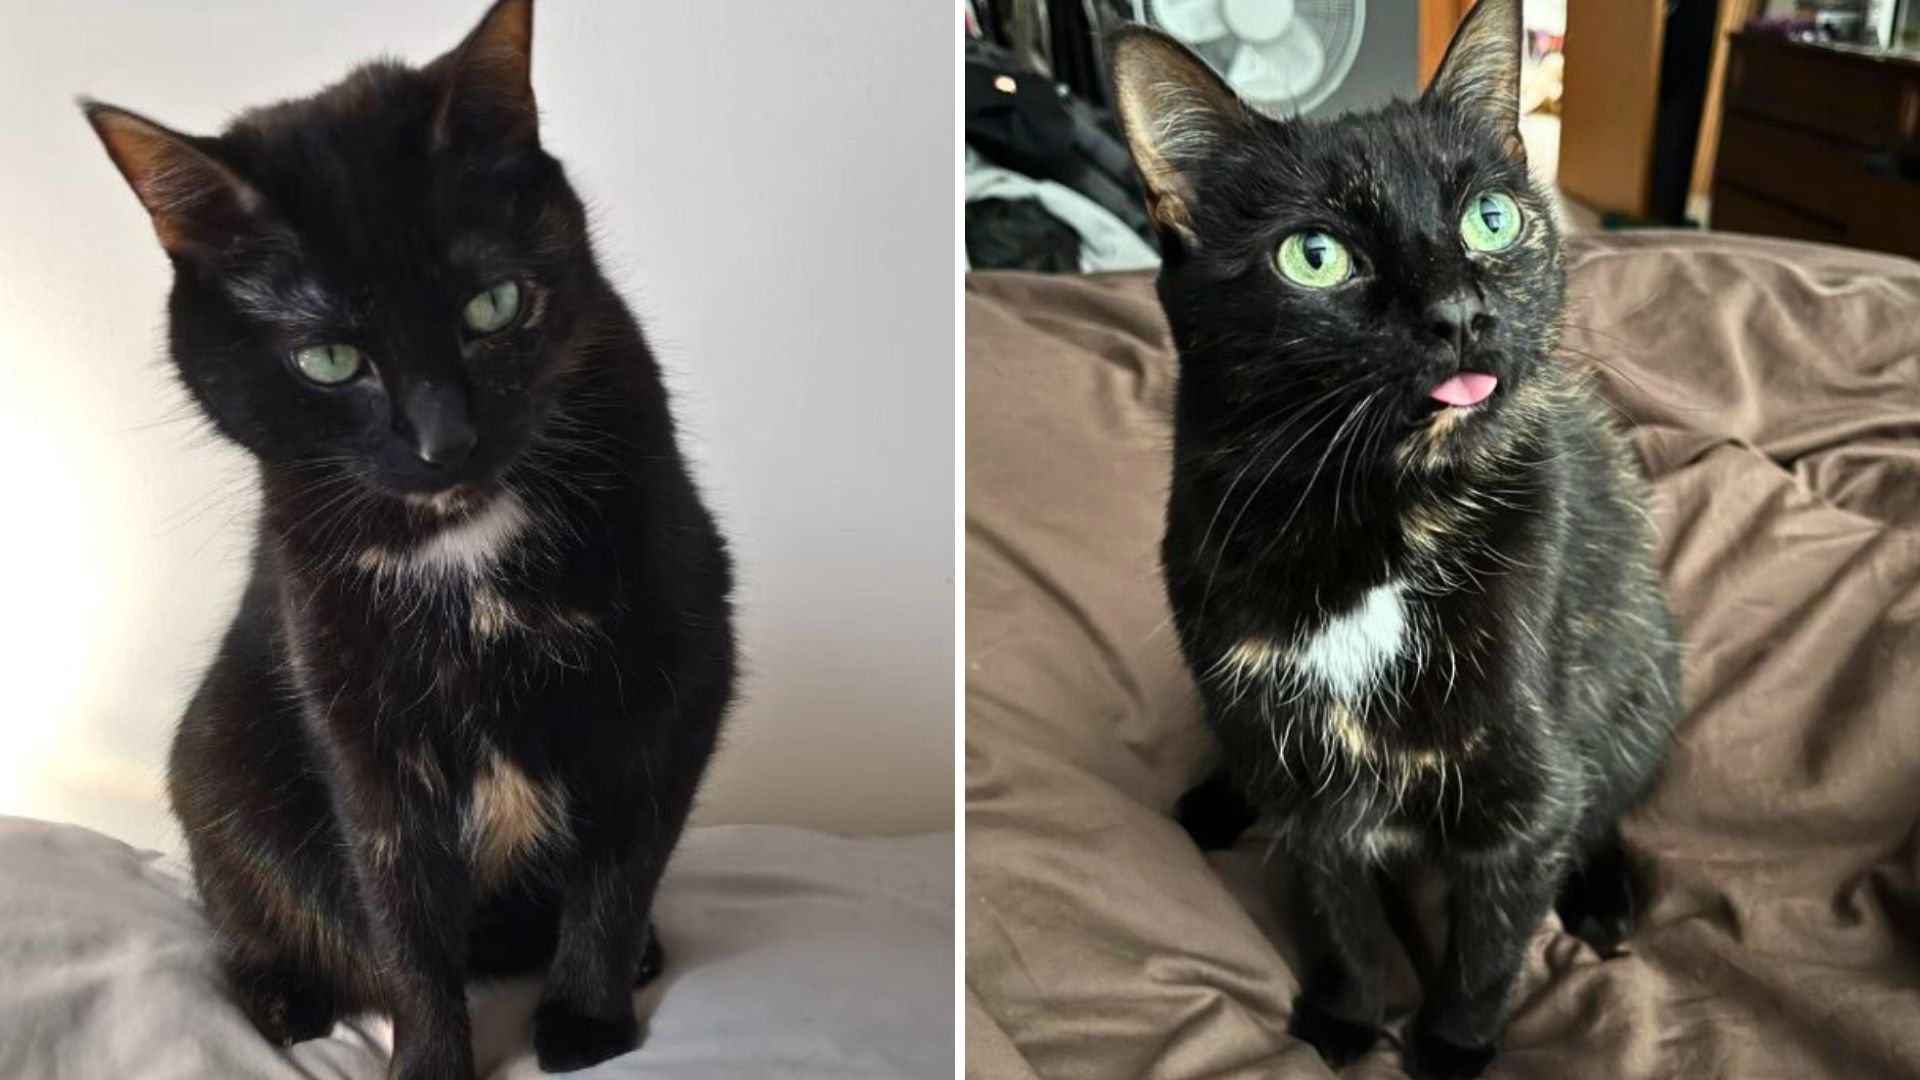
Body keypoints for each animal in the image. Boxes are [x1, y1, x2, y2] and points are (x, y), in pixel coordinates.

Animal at [80, 4, 733, 1068]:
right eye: (329, 359)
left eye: (495, 305)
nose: (444, 440)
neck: (464, 539)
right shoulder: (358, 717)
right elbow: (403, 916)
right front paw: (429, 1059)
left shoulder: (677, 667)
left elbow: (621, 860)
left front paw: (586, 1020)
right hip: (216, 764)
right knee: (251, 910)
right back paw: (285, 999)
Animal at [1113, 4, 1681, 1068]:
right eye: (1315, 255)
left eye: (1490, 219)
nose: (1460, 311)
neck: (1369, 523)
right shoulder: (1309, 793)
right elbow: (1343, 919)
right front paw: (1345, 1018)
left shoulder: (1526, 799)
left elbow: (1489, 945)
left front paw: (1451, 1048)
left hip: (1643, 686)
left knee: (1607, 799)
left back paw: (1604, 896)